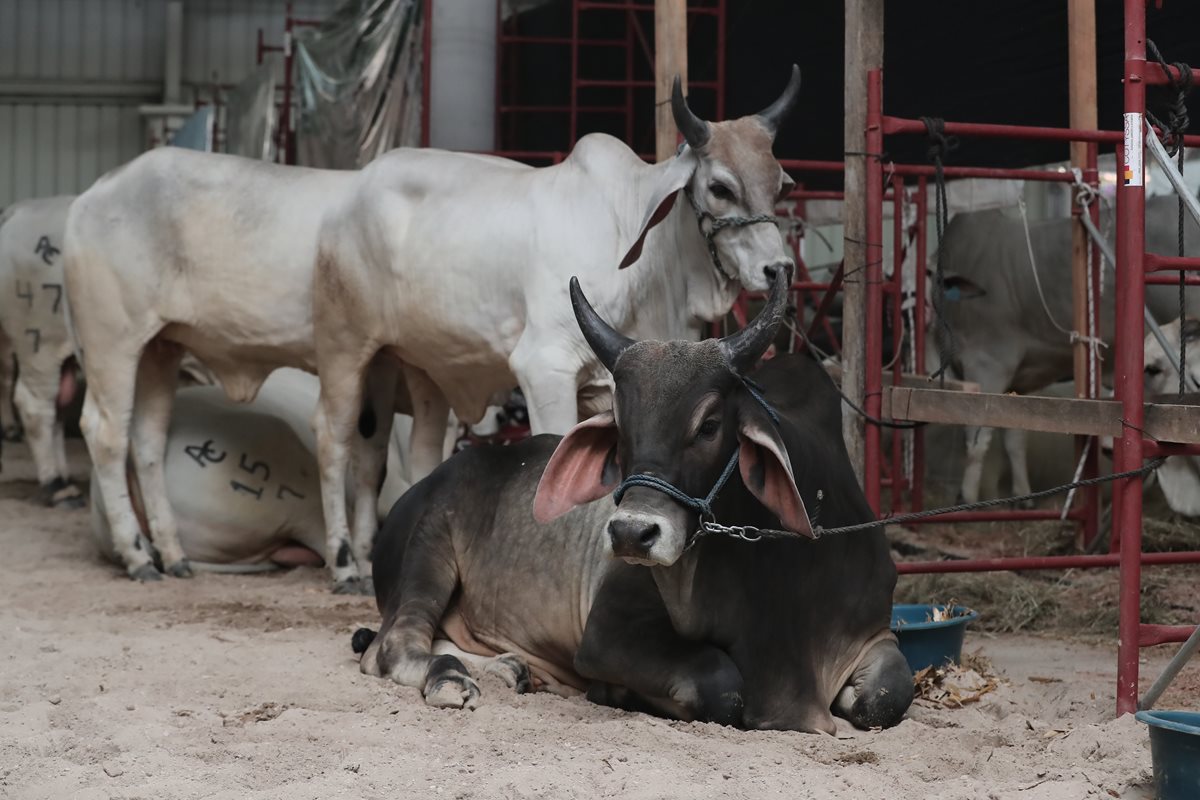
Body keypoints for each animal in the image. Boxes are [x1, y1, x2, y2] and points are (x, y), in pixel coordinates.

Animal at [60, 68, 801, 592]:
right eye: (719, 186)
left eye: (782, 183)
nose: (779, 269)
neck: (638, 247)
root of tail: (89, 195)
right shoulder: (544, 366)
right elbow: (551, 454)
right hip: (134, 341)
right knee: (115, 431)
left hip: (165, 348)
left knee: (149, 440)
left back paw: (172, 553)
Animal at [352, 272, 907, 734]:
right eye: (620, 428)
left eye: (709, 425)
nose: (630, 534)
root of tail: (420, 486)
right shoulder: (607, 633)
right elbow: (722, 684)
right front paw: (618, 693)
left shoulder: (876, 632)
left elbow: (887, 697)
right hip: (429, 547)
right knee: (389, 647)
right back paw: (452, 678)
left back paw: (509, 668)